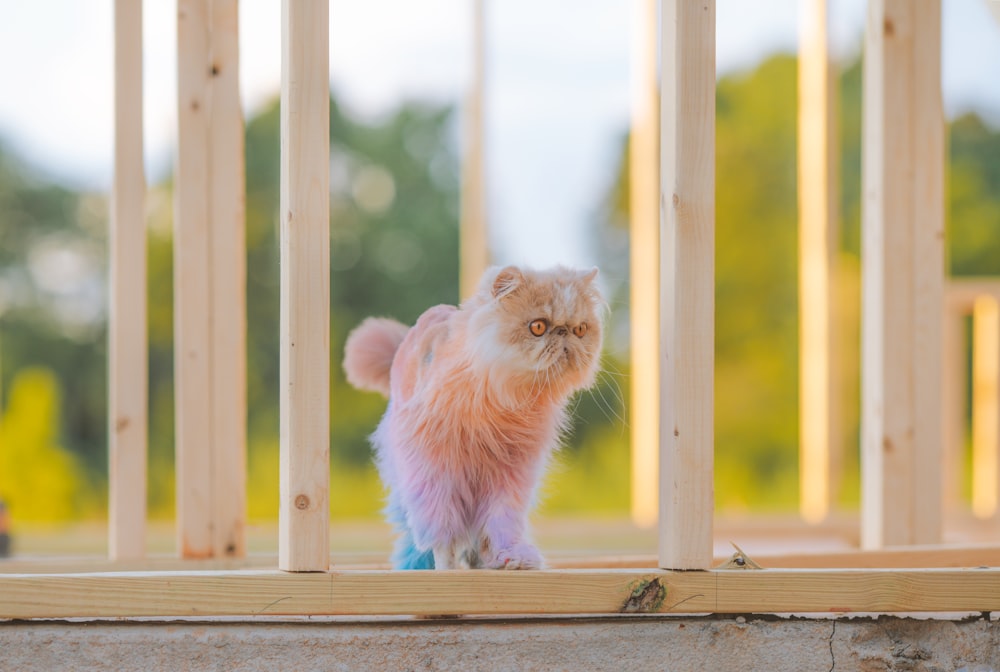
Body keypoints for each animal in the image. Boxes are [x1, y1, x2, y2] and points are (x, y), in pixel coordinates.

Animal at [340, 266, 604, 568]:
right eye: (537, 327)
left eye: (580, 330)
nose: (563, 334)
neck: (504, 401)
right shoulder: (435, 471)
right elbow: (443, 535)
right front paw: (447, 568)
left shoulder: (509, 476)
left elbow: (498, 524)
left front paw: (509, 558)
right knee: (413, 533)